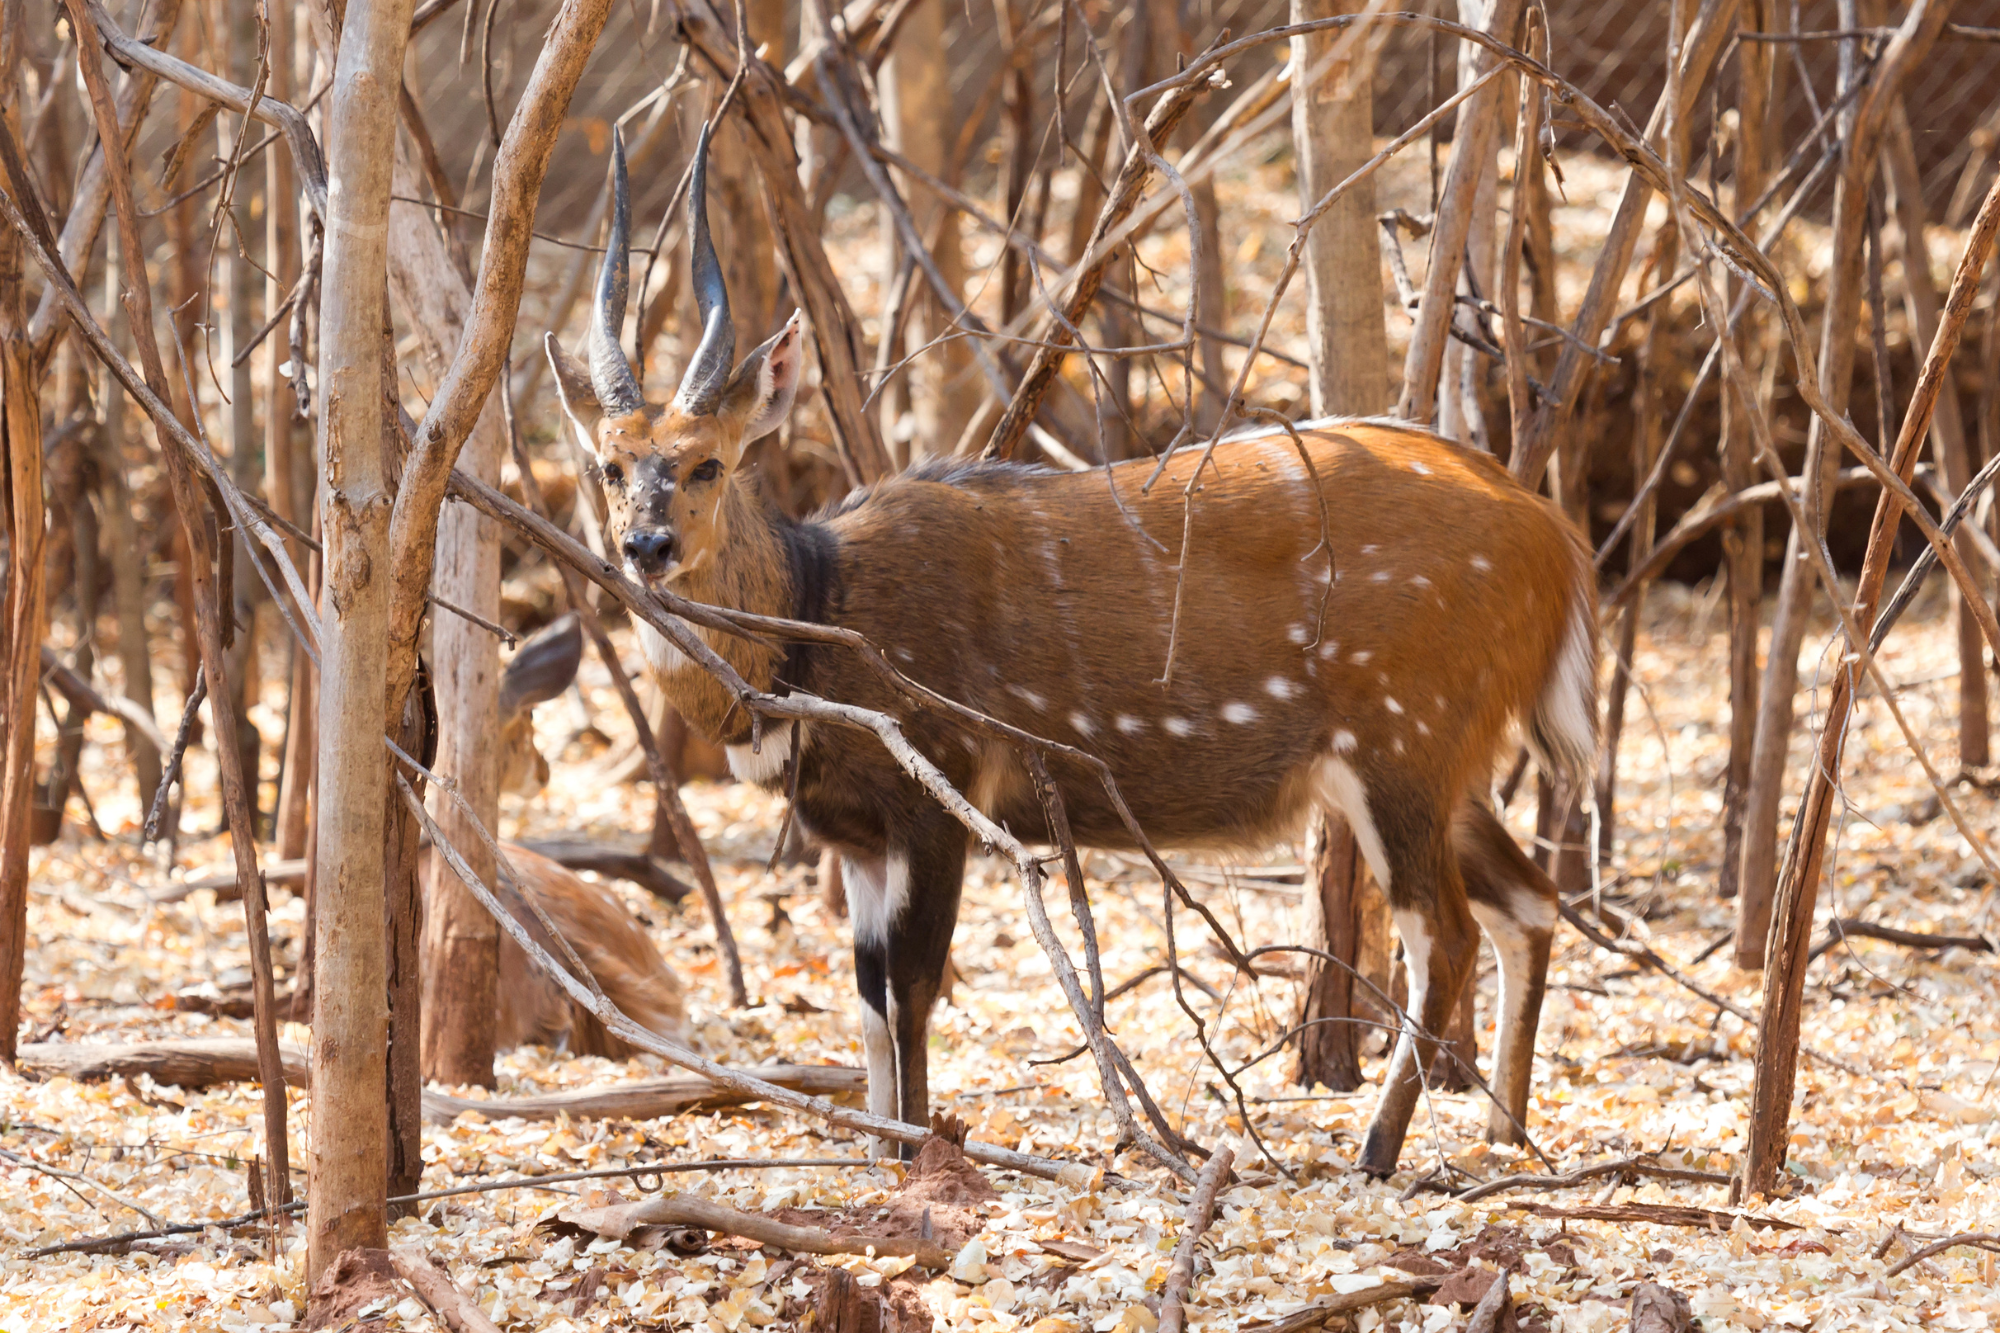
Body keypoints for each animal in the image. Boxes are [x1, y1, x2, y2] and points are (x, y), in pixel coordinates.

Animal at [544, 127, 1592, 1176]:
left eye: (707, 463)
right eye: (610, 463)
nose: (646, 546)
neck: (815, 614)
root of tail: (1552, 533)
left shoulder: (939, 796)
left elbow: (910, 988)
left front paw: (918, 1151)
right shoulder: (857, 835)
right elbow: (868, 996)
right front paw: (881, 1149)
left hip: (1401, 748)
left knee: (1446, 932)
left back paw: (1375, 1151)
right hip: (1443, 765)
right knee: (1531, 902)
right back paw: (1505, 1129)